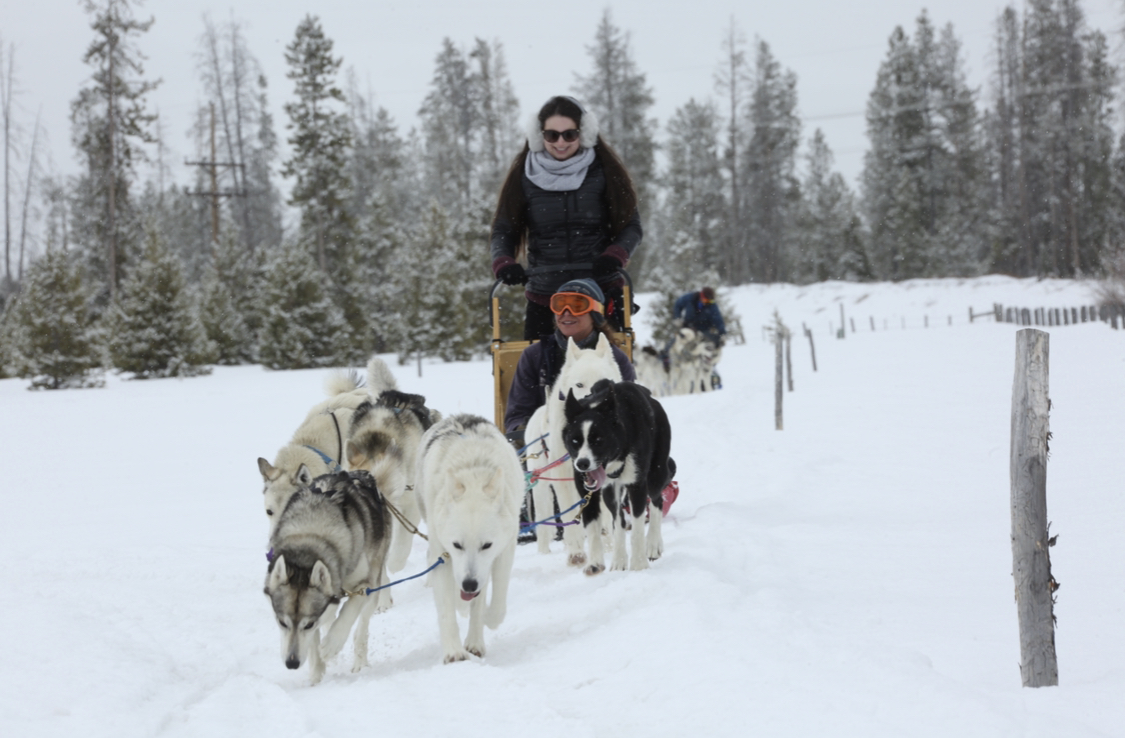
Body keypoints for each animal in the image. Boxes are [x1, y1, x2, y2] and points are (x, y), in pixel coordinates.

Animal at [562, 378, 675, 573]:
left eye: (598, 440)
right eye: (575, 440)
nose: (582, 463)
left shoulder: (637, 485)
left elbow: (637, 528)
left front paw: (638, 564)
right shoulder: (589, 493)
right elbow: (596, 527)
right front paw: (595, 563)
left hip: (655, 475)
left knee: (657, 501)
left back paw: (653, 544)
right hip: (610, 492)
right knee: (619, 521)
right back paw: (619, 560)